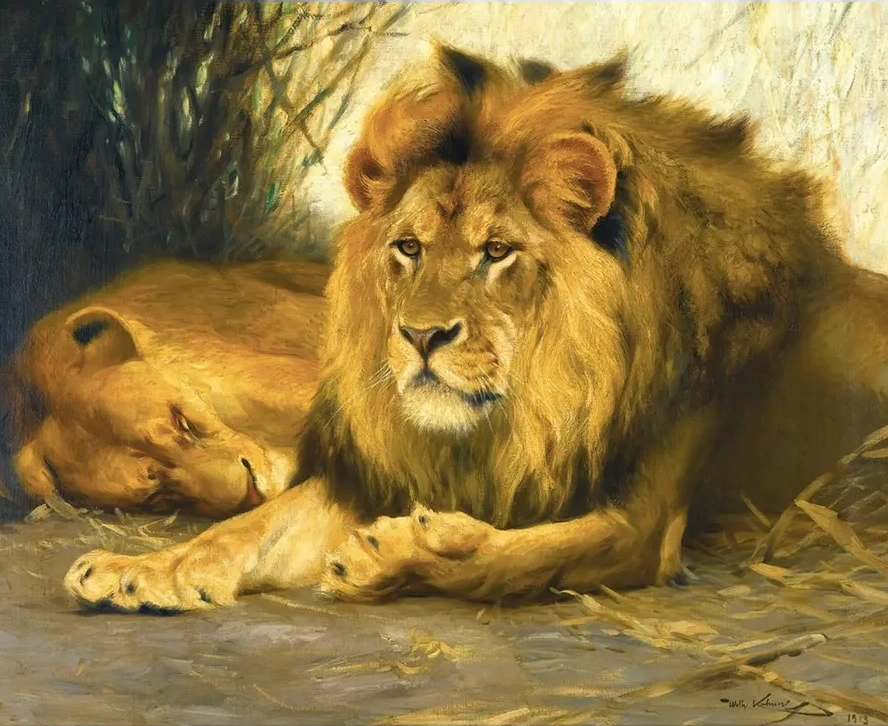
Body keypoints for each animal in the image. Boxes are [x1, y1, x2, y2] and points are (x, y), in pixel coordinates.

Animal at [61, 44, 888, 612]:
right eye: (409, 247)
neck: (535, 405)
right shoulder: (383, 474)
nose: (423, 337)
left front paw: (399, 553)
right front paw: (139, 569)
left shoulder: (643, 527)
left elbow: (517, 558)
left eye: (497, 252)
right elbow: (246, 530)